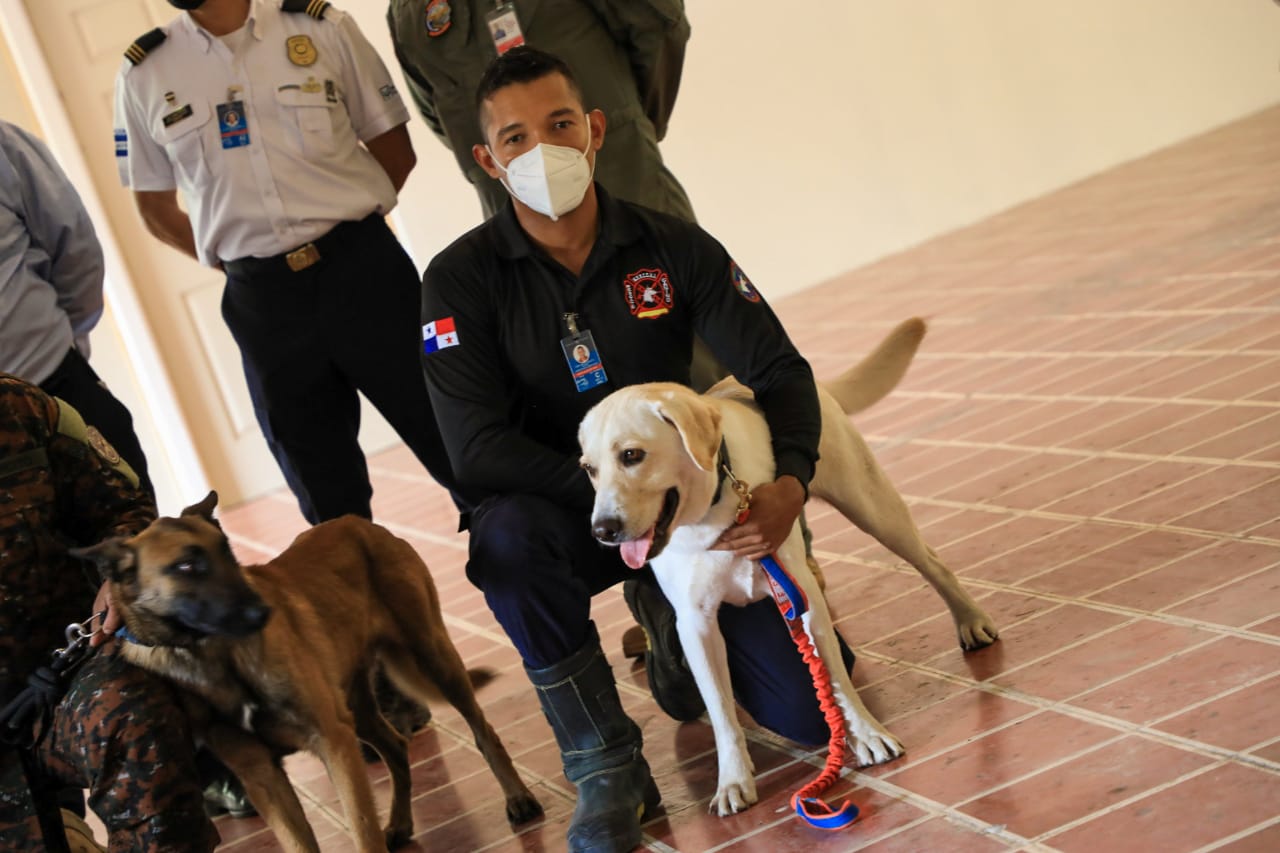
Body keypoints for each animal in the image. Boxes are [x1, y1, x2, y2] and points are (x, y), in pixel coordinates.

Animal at [73, 492, 543, 852]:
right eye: (187, 566)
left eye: (227, 553)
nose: (263, 611)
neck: (218, 657)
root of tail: (359, 523)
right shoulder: (262, 775)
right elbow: (299, 841)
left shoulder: (332, 742)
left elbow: (362, 830)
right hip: (356, 707)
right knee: (395, 747)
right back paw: (401, 823)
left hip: (431, 656)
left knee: (482, 730)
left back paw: (518, 798)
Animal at [577, 318, 998, 817]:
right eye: (589, 469)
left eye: (631, 455)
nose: (602, 529)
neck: (712, 515)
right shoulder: (696, 627)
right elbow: (721, 713)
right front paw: (732, 781)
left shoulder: (803, 600)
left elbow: (834, 679)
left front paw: (866, 735)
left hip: (872, 506)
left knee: (932, 563)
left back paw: (970, 620)